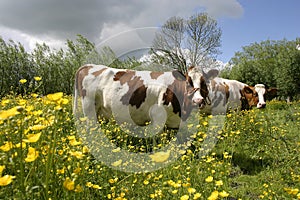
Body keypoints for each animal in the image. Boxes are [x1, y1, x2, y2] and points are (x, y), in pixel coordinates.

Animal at [73, 65, 216, 129]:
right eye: (187, 82)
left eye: (205, 82)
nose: (198, 100)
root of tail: (88, 65)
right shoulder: (158, 116)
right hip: (89, 109)